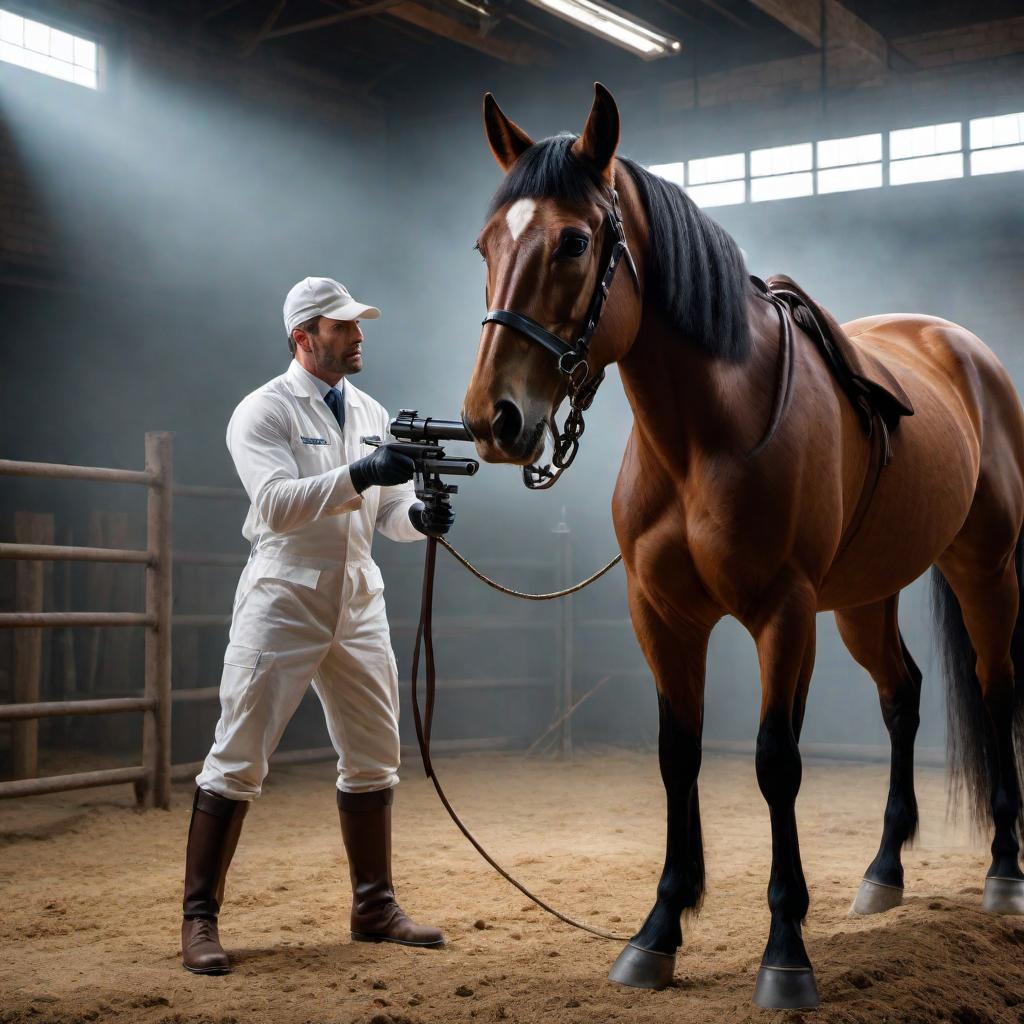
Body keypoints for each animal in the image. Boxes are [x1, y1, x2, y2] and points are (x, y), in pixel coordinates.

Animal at [460, 81, 1024, 1007]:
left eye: (574, 241)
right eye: (486, 245)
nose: (493, 418)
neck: (705, 437)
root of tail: (963, 349)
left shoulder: (782, 612)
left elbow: (775, 761)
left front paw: (785, 952)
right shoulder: (662, 615)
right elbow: (677, 755)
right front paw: (657, 932)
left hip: (985, 568)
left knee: (993, 689)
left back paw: (1004, 873)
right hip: (865, 600)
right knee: (902, 696)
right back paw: (883, 873)